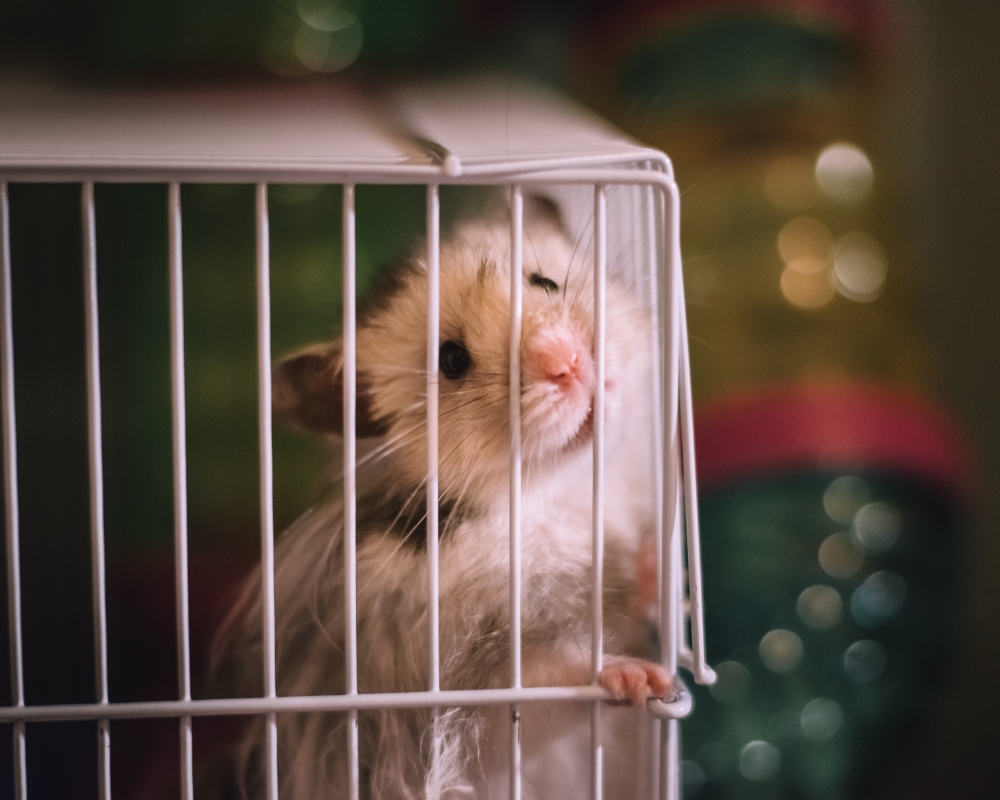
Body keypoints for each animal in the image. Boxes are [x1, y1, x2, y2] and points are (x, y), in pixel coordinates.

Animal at [213, 196, 670, 800]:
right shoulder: (462, 689)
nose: (568, 361)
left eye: (545, 281)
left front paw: (657, 570)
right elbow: (553, 673)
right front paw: (644, 677)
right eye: (451, 359)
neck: (553, 490)